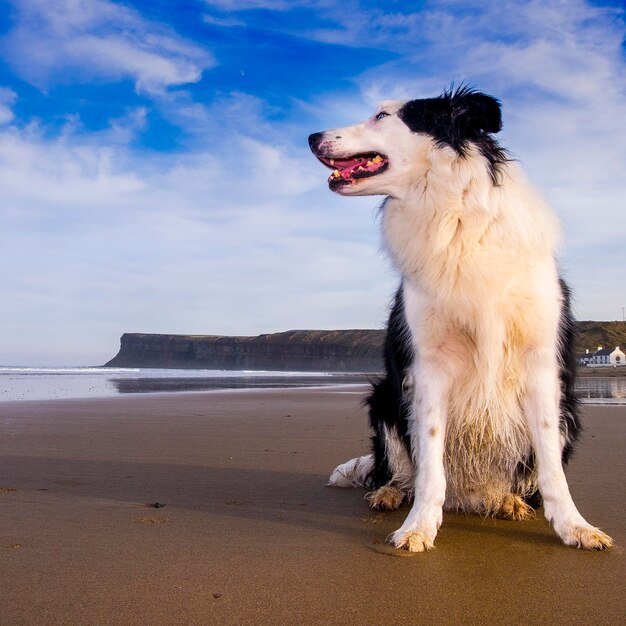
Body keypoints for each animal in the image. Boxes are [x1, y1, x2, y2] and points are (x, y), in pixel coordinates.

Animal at [310, 85, 612, 548]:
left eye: (382, 115)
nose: (311, 137)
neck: (451, 212)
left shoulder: (540, 363)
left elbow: (551, 468)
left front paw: (574, 526)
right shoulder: (429, 366)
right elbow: (430, 462)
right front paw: (418, 526)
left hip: (572, 412)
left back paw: (506, 501)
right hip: (384, 397)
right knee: (402, 468)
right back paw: (390, 492)